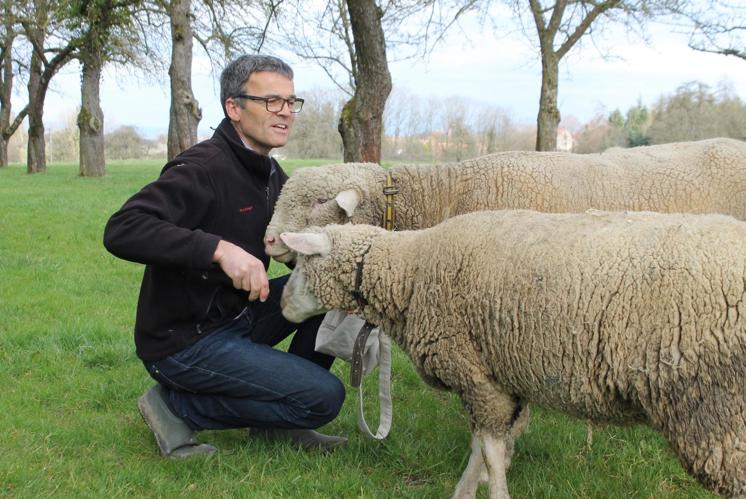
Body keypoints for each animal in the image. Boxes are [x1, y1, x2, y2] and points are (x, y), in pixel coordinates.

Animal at [278, 211, 744, 499]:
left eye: (301, 264)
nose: (280, 305)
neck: (410, 272)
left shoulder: (475, 374)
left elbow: (489, 452)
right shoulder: (498, 379)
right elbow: (485, 450)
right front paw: (465, 492)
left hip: (715, 405)